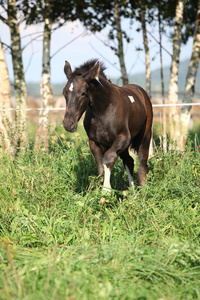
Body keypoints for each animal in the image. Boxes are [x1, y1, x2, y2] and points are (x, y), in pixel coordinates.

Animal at [62, 59, 153, 190]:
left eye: (84, 93)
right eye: (64, 92)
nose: (68, 123)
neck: (103, 111)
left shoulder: (123, 138)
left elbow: (108, 158)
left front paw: (106, 190)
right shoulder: (94, 142)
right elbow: (100, 166)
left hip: (145, 137)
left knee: (142, 165)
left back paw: (144, 190)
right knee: (129, 161)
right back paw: (132, 191)